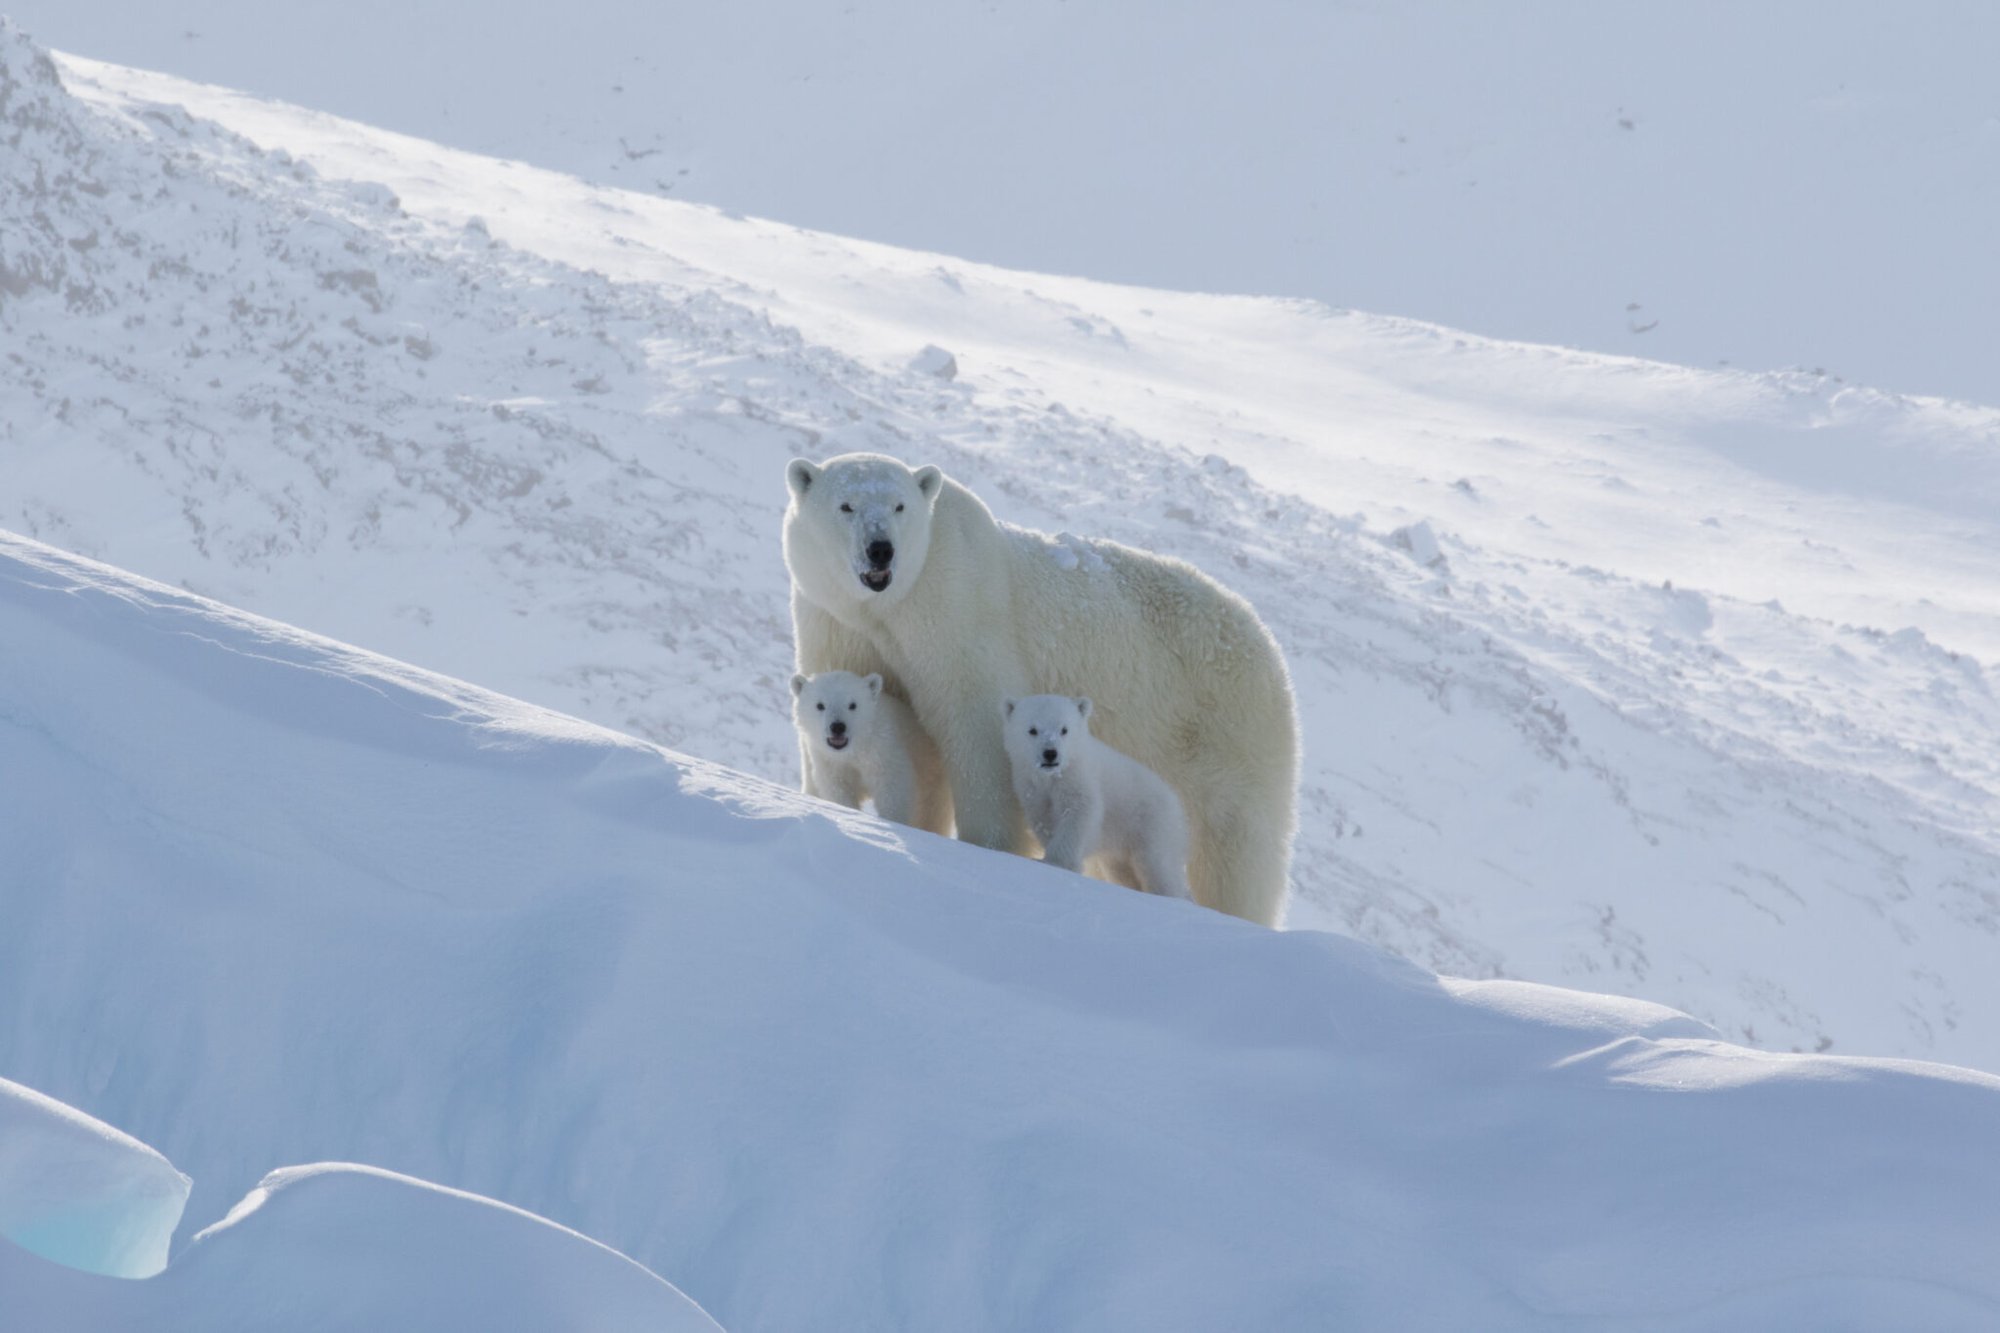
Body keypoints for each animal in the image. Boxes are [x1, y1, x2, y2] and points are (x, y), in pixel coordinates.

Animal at [788, 676, 952, 832]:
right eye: (820, 705)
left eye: (852, 705)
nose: (838, 727)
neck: (856, 747)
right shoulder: (829, 760)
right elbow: (838, 788)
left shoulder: (883, 749)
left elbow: (892, 789)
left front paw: (892, 821)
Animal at [1000, 688, 1184, 896]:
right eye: (1032, 729)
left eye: (1064, 729)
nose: (1050, 753)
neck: (1055, 775)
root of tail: (1175, 802)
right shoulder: (1031, 787)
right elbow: (1043, 818)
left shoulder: (1079, 779)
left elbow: (1079, 813)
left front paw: (1059, 862)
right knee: (1122, 870)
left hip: (1153, 823)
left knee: (1158, 865)